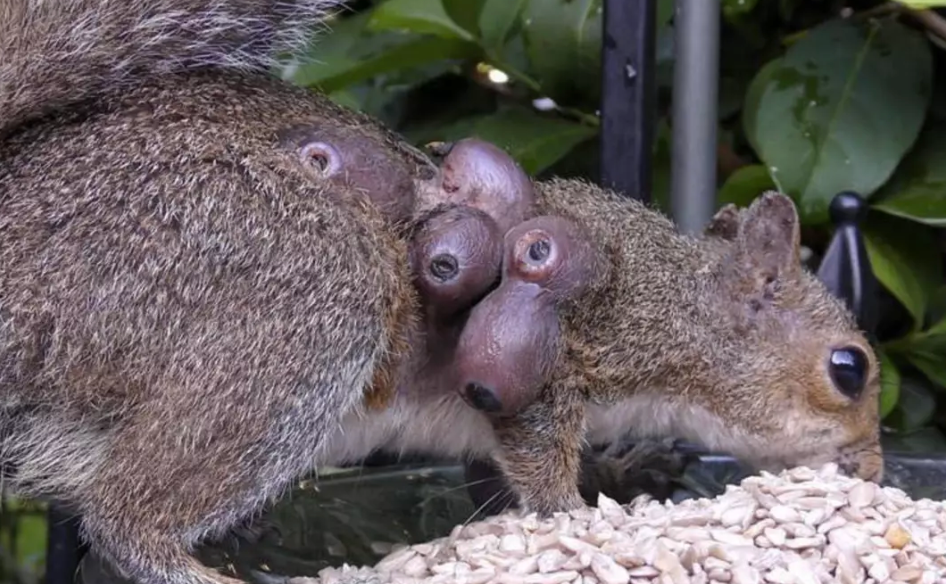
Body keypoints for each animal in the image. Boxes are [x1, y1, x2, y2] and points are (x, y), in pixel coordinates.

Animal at [1, 1, 883, 583]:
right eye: (850, 369)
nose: (874, 470)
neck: (678, 303)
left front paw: (636, 472)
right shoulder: (573, 338)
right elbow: (537, 450)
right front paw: (581, 519)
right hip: (297, 283)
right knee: (124, 519)